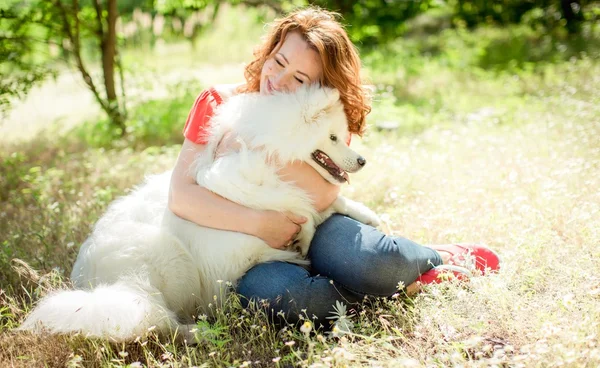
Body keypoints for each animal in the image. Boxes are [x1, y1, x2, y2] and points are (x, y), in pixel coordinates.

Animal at [22, 85, 384, 342]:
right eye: (333, 137)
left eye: (342, 135)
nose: (363, 161)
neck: (267, 150)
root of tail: (93, 284)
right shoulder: (241, 201)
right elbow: (298, 211)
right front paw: (302, 242)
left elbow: (323, 203)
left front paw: (366, 214)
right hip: (170, 264)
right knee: (158, 320)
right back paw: (201, 332)